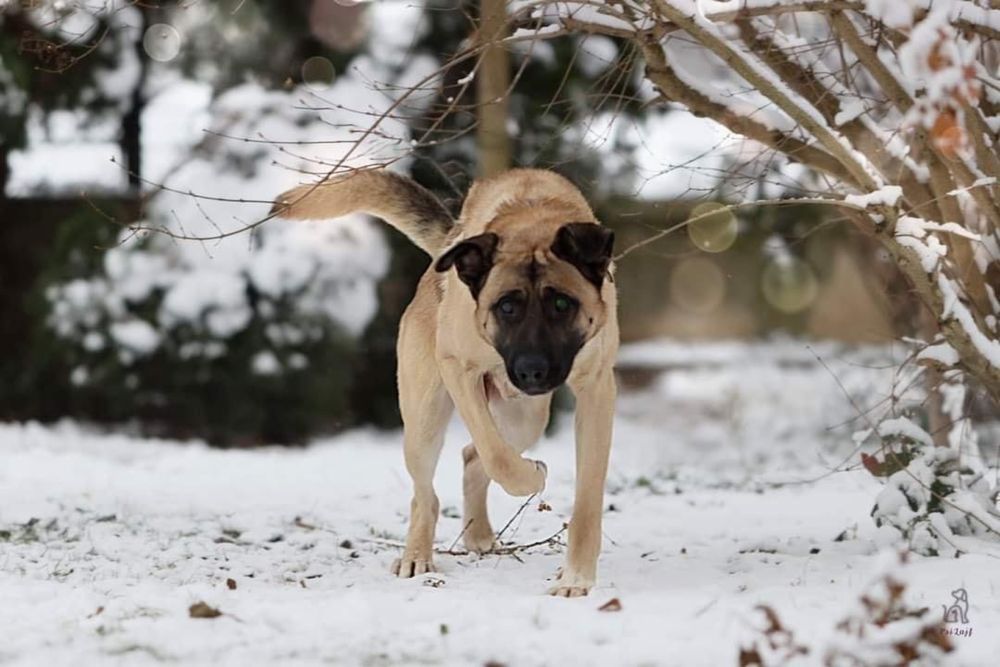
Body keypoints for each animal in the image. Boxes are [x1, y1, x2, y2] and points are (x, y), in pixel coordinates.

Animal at [274, 170, 616, 596]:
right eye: (507, 306)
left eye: (562, 304)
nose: (532, 371)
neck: (532, 221)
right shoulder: (458, 368)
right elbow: (498, 457)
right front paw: (533, 476)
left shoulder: (596, 388)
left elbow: (585, 495)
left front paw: (576, 576)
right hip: (425, 421)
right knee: (429, 493)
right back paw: (417, 555)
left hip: (526, 418)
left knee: (471, 458)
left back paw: (478, 534)